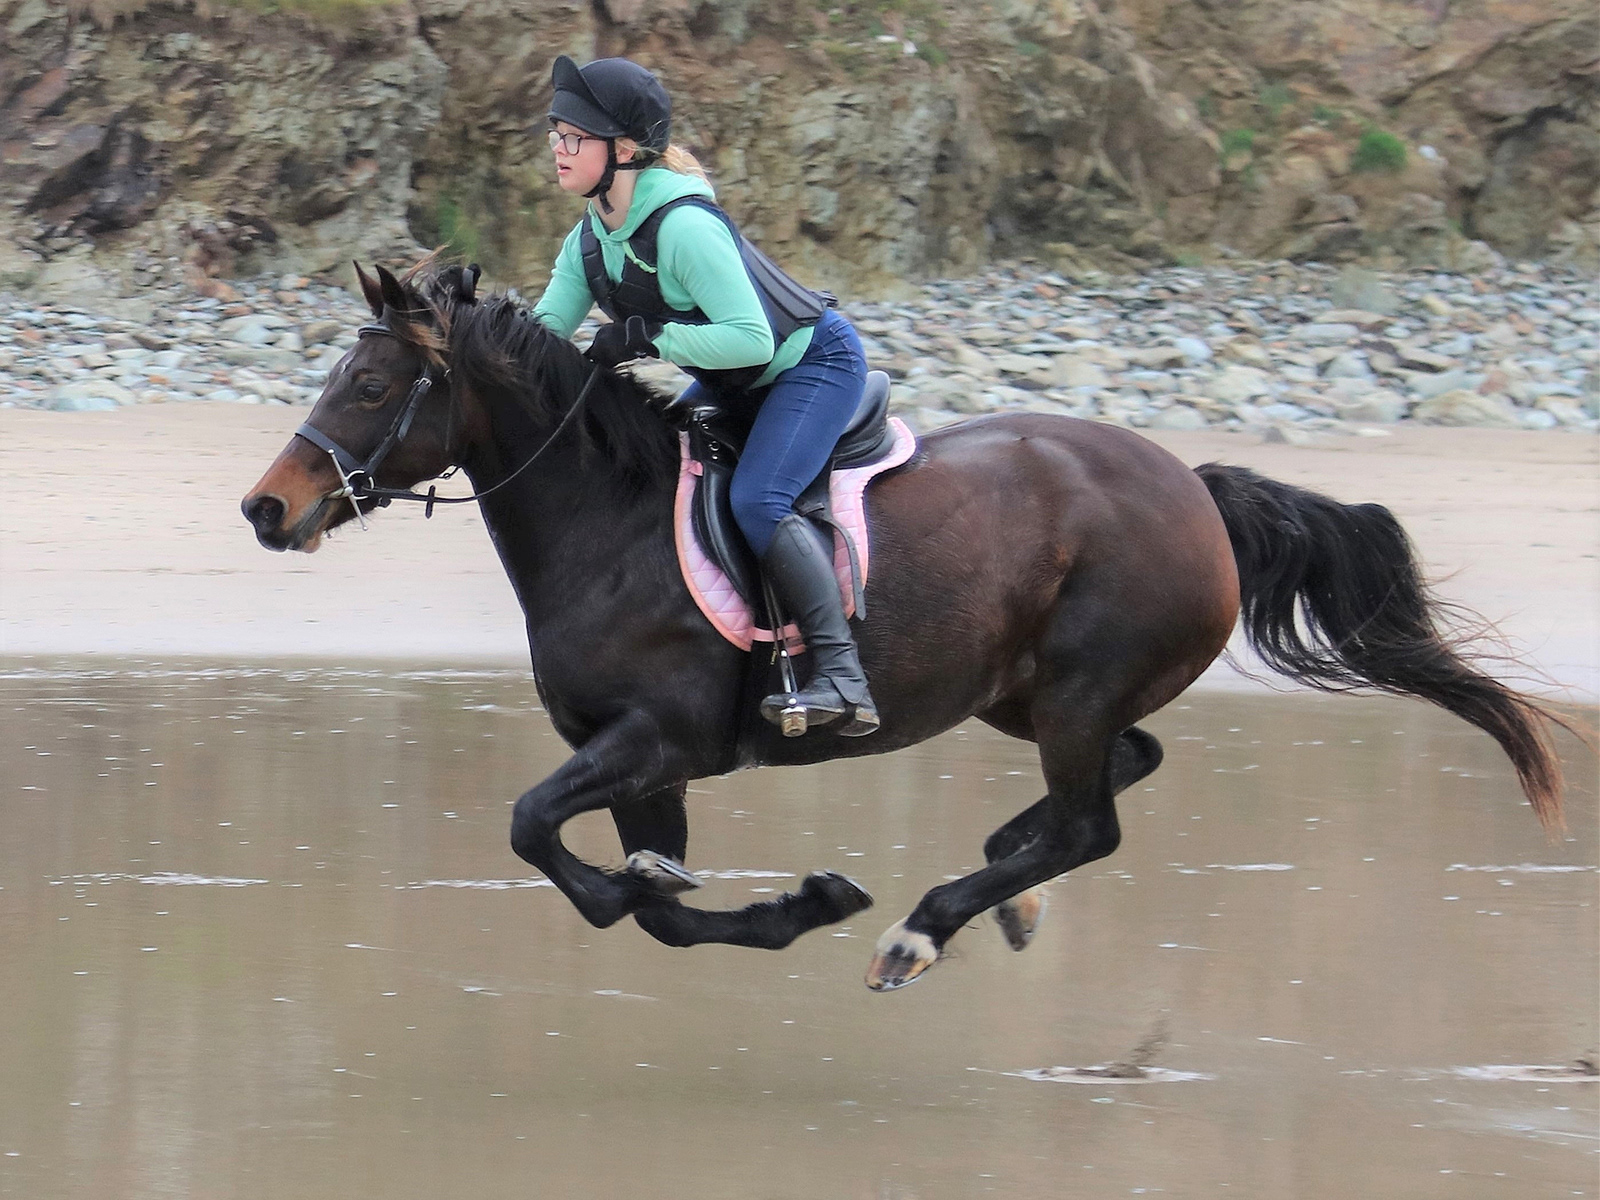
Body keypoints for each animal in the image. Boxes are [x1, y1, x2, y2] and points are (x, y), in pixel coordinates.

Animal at [241, 261, 1569, 991]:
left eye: (370, 385)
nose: (267, 509)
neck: (604, 528)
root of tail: (1192, 487)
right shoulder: (641, 767)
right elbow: (653, 905)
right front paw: (805, 903)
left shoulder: (656, 740)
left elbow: (547, 841)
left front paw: (830, 906)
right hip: (1026, 694)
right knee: (1121, 770)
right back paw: (1002, 887)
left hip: (1074, 686)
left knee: (1091, 820)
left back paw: (927, 929)